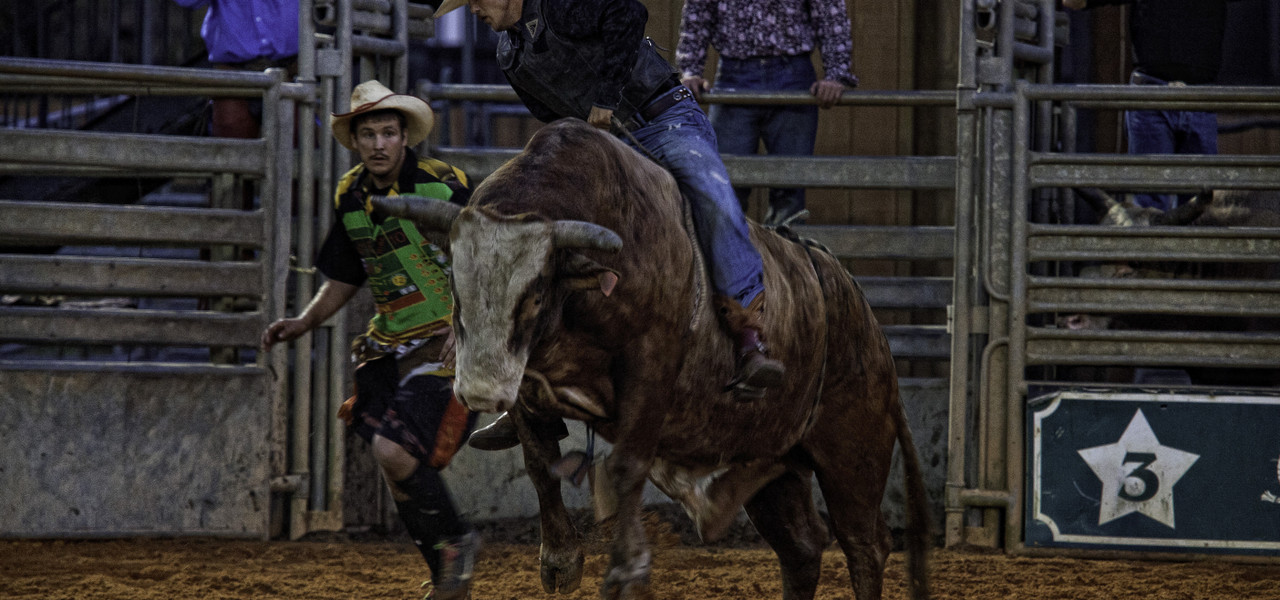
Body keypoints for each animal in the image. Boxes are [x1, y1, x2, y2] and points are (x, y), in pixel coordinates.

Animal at [373, 118, 926, 598]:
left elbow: (624, 469)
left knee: (865, 544)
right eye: (453, 284)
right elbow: (538, 458)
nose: (481, 389)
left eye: (535, 294)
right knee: (803, 547)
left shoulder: (649, 371)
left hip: (853, 450)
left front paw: (624, 570)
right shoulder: (528, 375)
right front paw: (559, 560)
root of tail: (859, 308)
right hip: (772, 462)